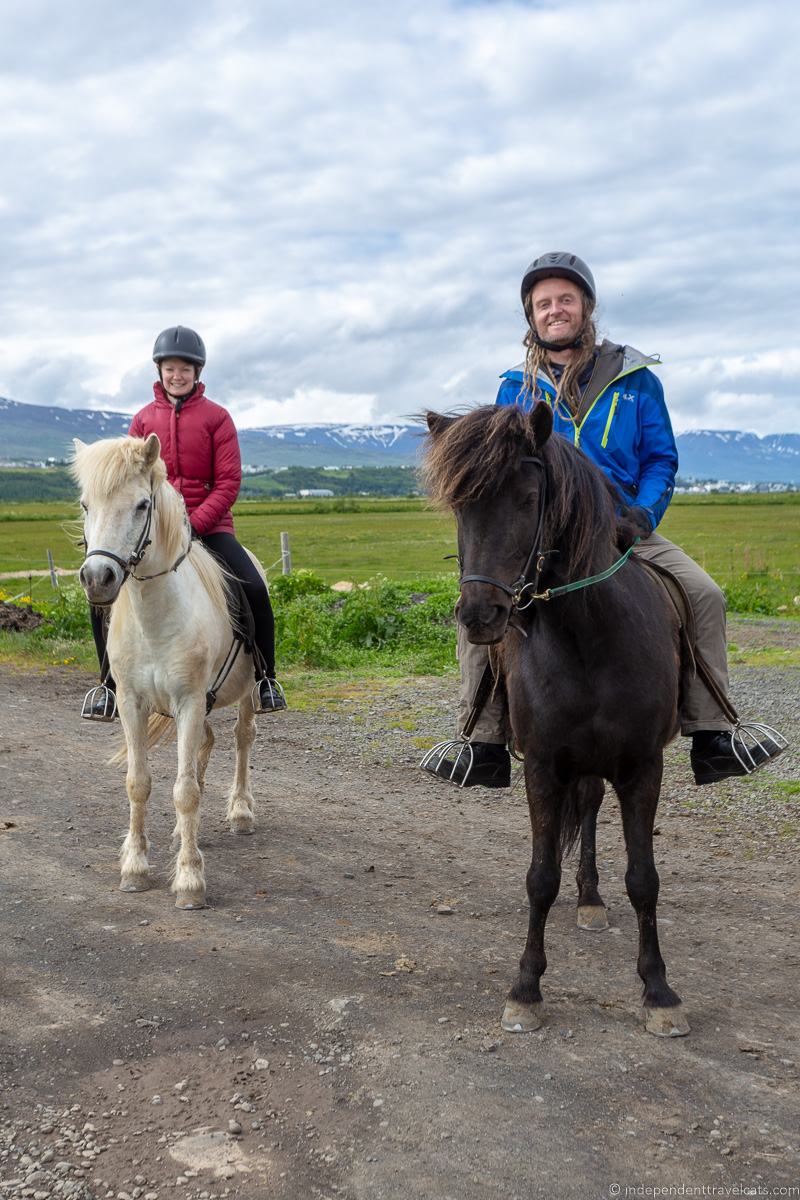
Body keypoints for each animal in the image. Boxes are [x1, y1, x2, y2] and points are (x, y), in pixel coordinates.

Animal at [72, 434, 262, 907]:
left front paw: (190, 881)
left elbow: (186, 791)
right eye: (85, 504)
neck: (154, 615)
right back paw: (181, 833)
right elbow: (139, 783)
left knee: (242, 738)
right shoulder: (132, 703)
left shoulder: (190, 701)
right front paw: (135, 868)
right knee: (204, 746)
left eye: (143, 505)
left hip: (246, 693)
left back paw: (240, 811)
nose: (98, 578)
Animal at [422, 405, 690, 1041]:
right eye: (460, 506)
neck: (587, 637)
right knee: (586, 807)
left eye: (526, 498)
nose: (479, 615)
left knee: (591, 810)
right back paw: (586, 896)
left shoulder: (643, 766)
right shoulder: (544, 766)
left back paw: (592, 898)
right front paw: (525, 989)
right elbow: (540, 878)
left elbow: (644, 879)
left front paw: (659, 992)